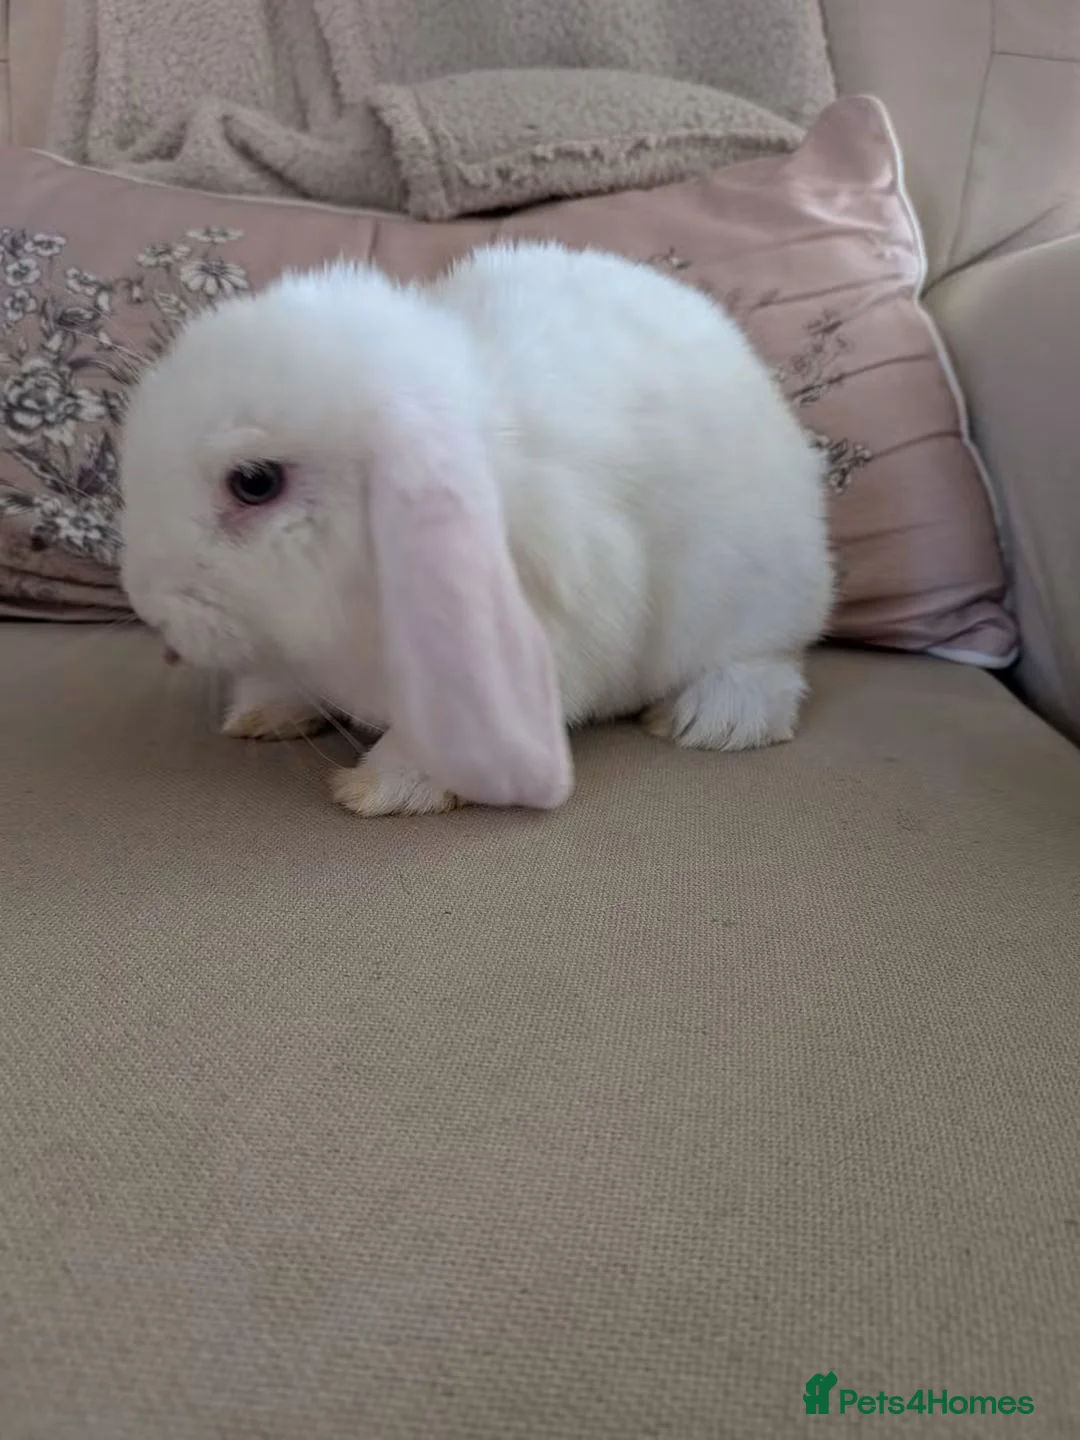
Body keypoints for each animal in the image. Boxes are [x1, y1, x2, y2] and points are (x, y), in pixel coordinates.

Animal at [119, 240, 833, 817]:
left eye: (255, 482)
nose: (149, 609)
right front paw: (264, 711)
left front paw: (384, 789)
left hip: (754, 597)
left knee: (768, 662)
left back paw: (712, 720)